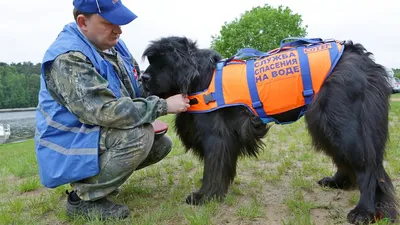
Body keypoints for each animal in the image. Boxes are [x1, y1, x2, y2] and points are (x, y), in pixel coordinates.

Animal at [140, 36, 396, 224]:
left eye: (163, 63)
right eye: (150, 61)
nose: (142, 77)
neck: (201, 80)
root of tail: (361, 57)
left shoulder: (216, 138)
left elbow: (212, 170)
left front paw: (205, 196)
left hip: (343, 124)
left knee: (368, 167)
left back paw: (364, 211)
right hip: (324, 124)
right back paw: (339, 182)